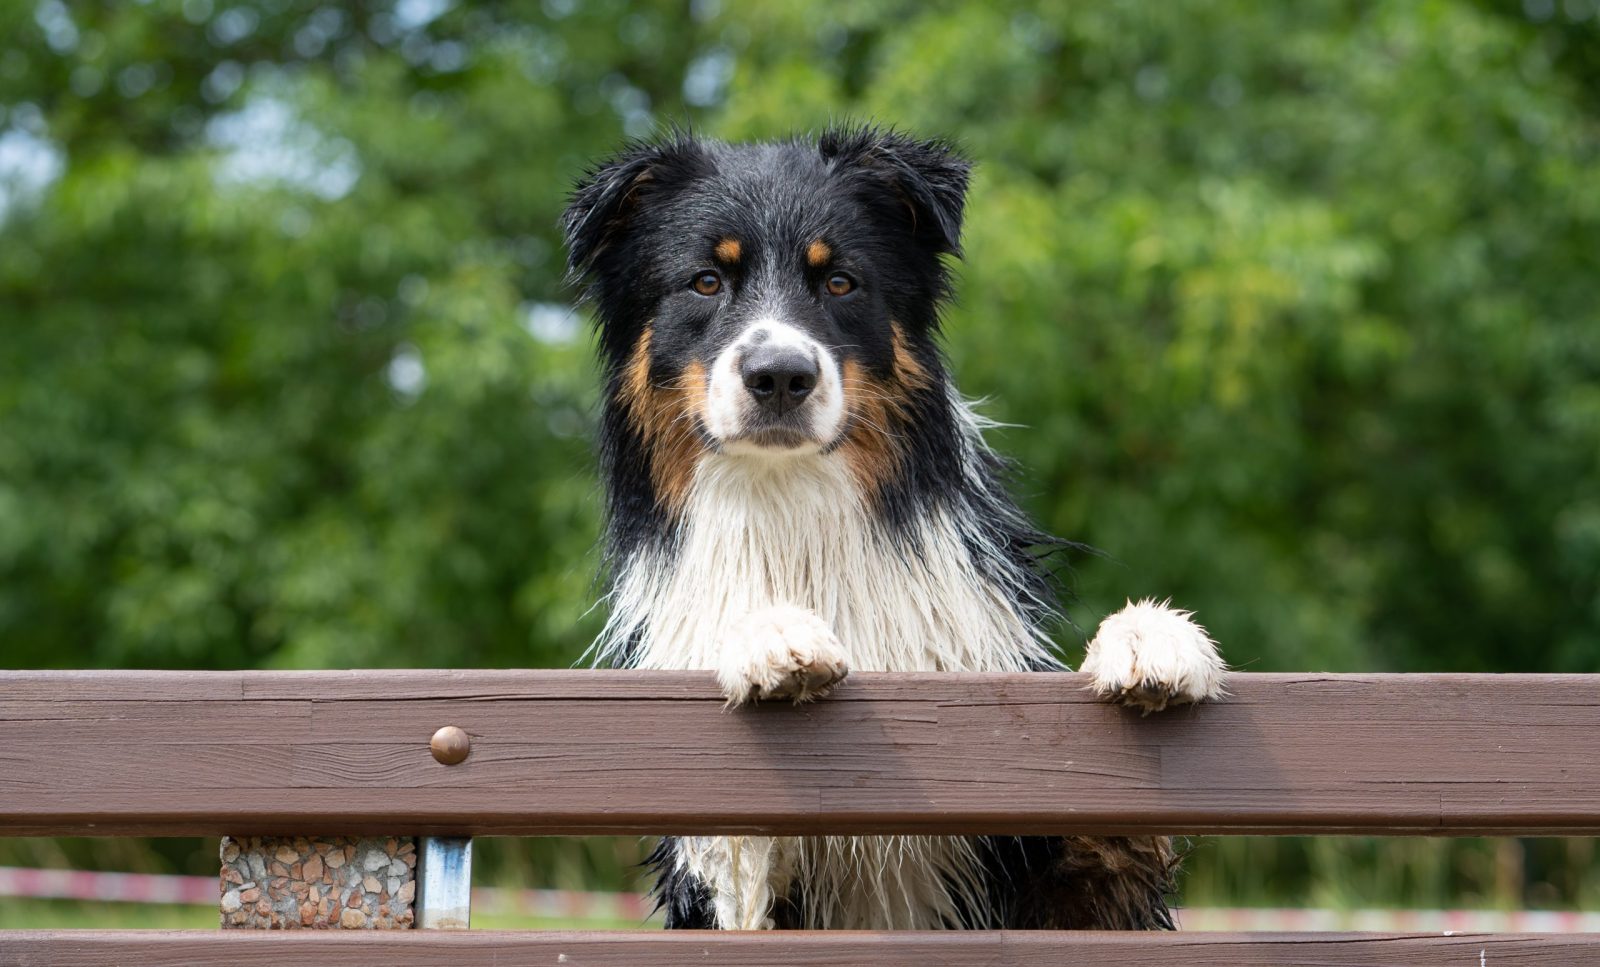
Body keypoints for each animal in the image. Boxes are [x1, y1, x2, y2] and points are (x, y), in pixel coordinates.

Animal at [563, 126, 1222, 928]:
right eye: (706, 282)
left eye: (841, 283)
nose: (779, 376)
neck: (792, 507)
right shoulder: (720, 893)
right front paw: (769, 632)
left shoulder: (1059, 876)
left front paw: (1150, 635)